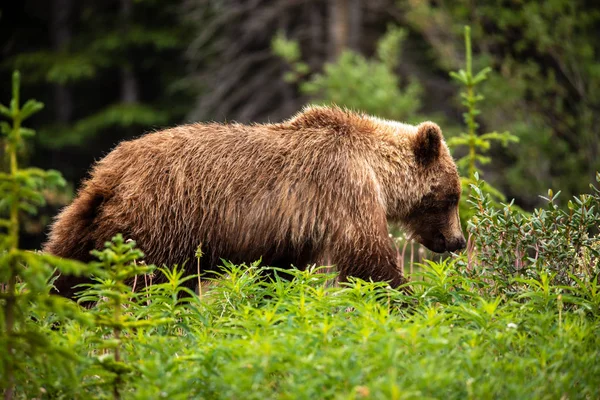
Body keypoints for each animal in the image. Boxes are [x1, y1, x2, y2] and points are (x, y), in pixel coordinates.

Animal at [44, 106, 466, 296]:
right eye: (453, 196)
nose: (458, 241)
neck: (375, 168)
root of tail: (109, 170)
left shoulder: (292, 227)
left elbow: (280, 271)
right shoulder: (343, 187)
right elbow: (369, 260)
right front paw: (409, 299)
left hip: (86, 218)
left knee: (65, 265)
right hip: (160, 220)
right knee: (148, 283)